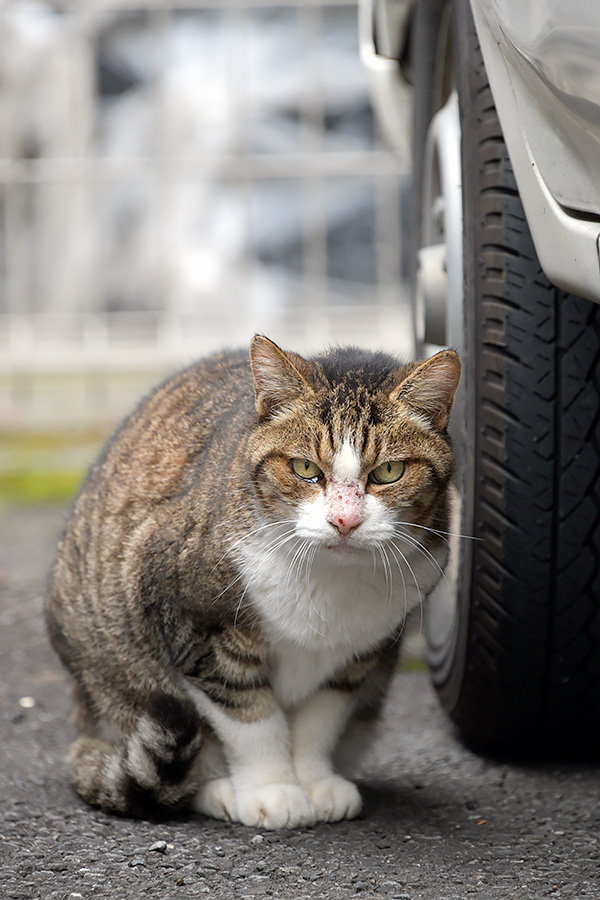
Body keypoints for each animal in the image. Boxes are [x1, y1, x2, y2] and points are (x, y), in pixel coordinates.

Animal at [45, 336, 460, 828]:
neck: (330, 577)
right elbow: (250, 718)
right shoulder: (196, 627)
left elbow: (320, 721)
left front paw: (314, 782)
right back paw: (216, 790)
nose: (344, 520)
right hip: (111, 665)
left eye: (388, 472)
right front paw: (272, 789)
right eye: (304, 468)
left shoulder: (357, 656)